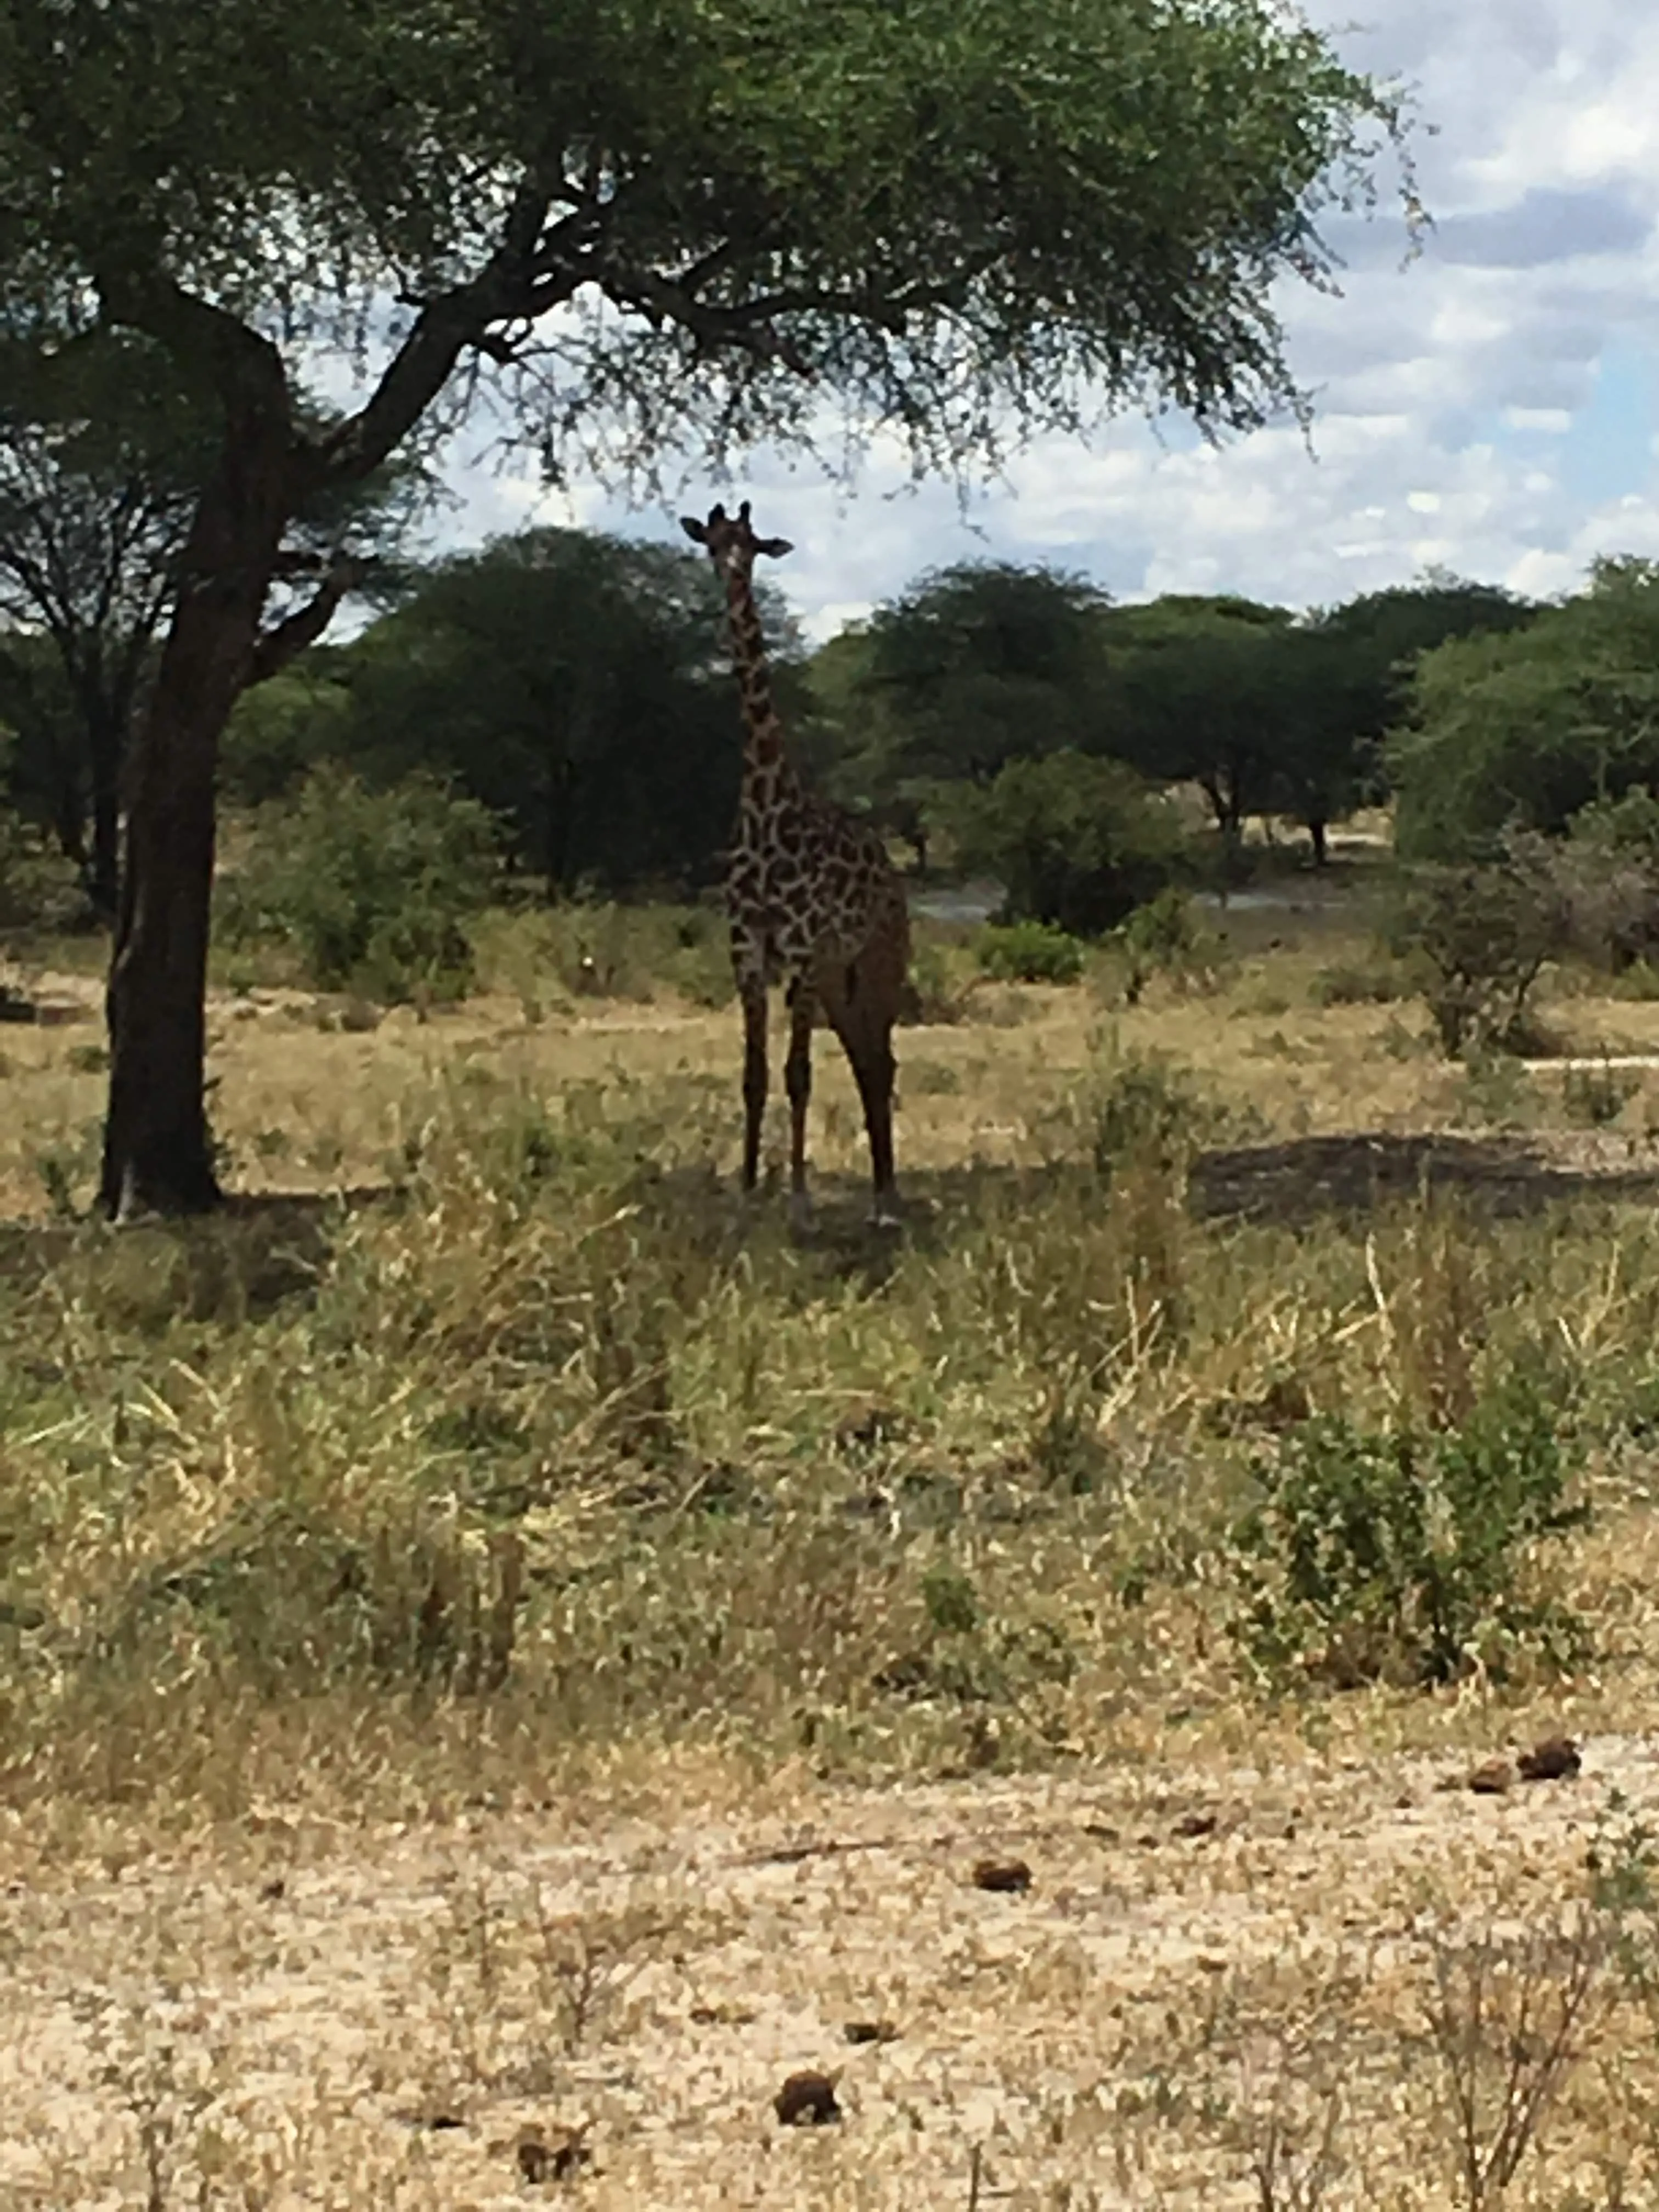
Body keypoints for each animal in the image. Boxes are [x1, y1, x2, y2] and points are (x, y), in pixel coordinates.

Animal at [681, 499, 910, 1227]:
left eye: (753, 544)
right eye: (712, 542)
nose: (731, 574)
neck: (765, 805)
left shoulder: (803, 952)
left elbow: (798, 1075)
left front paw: (802, 1201)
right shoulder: (748, 952)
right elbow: (755, 1076)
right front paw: (749, 1192)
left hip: (878, 961)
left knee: (883, 1059)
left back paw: (887, 1199)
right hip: (843, 977)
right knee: (867, 1058)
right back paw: (879, 1191)